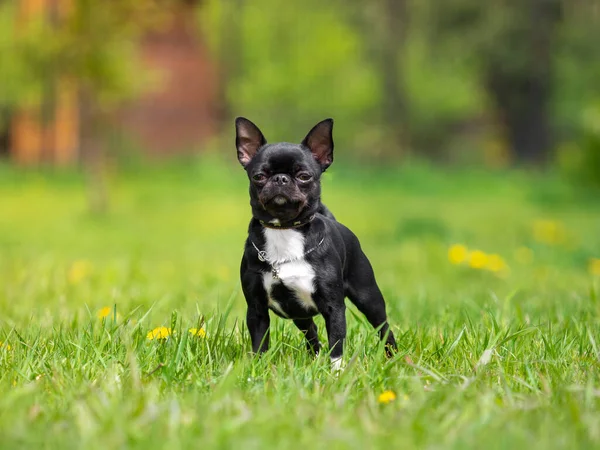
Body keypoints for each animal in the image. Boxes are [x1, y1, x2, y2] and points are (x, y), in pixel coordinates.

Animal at [236, 117, 398, 370]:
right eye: (259, 176)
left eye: (304, 176)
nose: (281, 178)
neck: (284, 230)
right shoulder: (256, 310)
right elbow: (260, 343)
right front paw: (258, 369)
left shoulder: (334, 308)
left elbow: (336, 345)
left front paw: (336, 373)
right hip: (299, 314)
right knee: (311, 332)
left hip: (369, 297)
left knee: (384, 328)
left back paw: (394, 357)